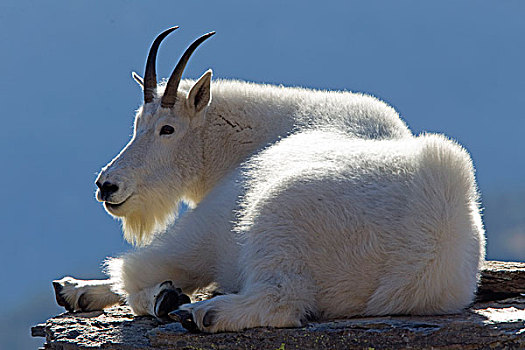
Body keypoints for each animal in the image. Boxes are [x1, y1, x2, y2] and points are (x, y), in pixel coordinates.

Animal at [53, 27, 484, 334]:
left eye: (168, 129)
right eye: (137, 123)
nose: (107, 186)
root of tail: (423, 254)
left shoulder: (211, 222)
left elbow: (137, 271)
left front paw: (88, 289)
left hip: (275, 220)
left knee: (282, 301)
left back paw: (198, 312)